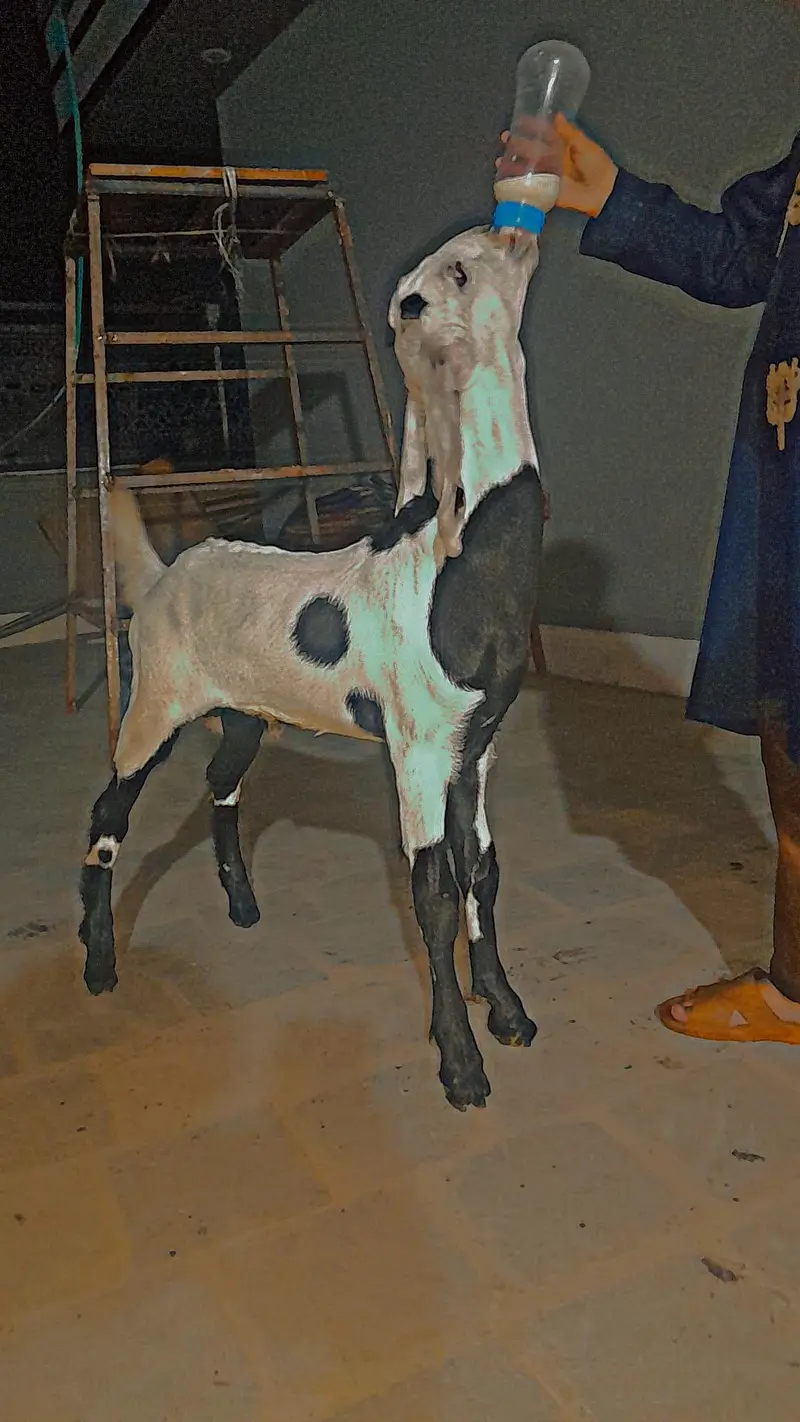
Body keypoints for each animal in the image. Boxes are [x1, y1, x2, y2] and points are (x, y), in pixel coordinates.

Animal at [78, 224, 545, 1110]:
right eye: (457, 271)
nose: (518, 231)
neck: (459, 566)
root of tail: (158, 581)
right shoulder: (418, 750)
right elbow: (433, 893)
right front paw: (461, 1065)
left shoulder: (477, 748)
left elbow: (485, 871)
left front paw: (507, 1010)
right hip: (154, 703)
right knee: (107, 816)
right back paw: (97, 963)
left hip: (244, 713)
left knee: (221, 782)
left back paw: (242, 905)